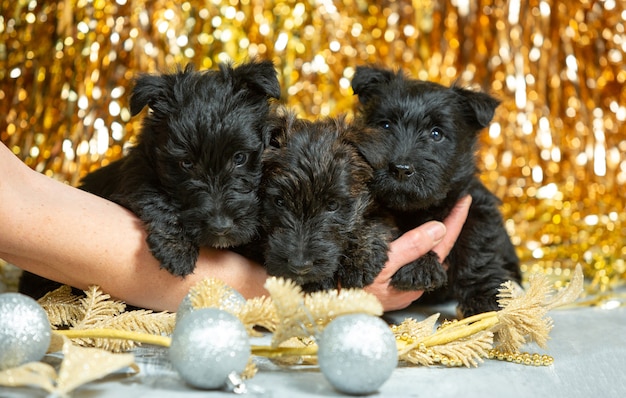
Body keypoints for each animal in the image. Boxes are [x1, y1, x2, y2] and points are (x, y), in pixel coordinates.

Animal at [18, 60, 278, 298]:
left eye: (240, 157)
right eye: (186, 163)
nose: (221, 227)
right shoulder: (135, 176)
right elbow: (153, 196)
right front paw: (176, 251)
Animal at [348, 66, 520, 318]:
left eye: (436, 134)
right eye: (385, 126)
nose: (400, 169)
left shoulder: (474, 206)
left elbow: (477, 250)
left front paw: (484, 297)